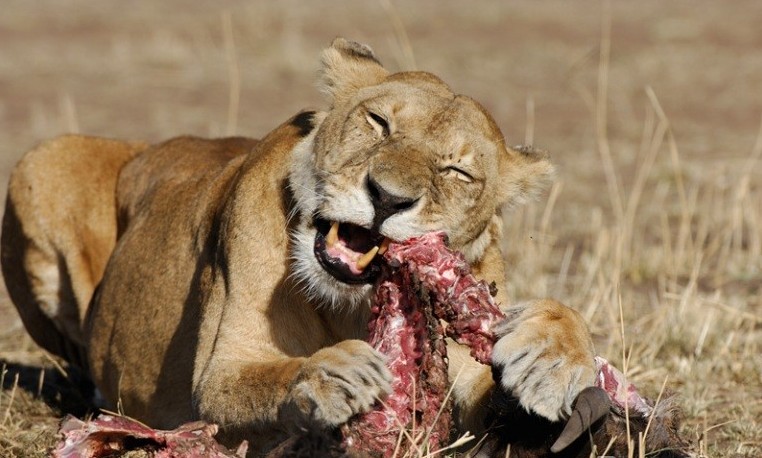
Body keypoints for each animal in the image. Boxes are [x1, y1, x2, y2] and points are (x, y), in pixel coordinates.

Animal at [1, 38, 592, 454]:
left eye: (456, 170)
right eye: (378, 123)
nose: (387, 197)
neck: (353, 306)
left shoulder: (463, 383)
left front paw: (553, 357)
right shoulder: (219, 376)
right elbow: (271, 375)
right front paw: (333, 372)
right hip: (42, 160)